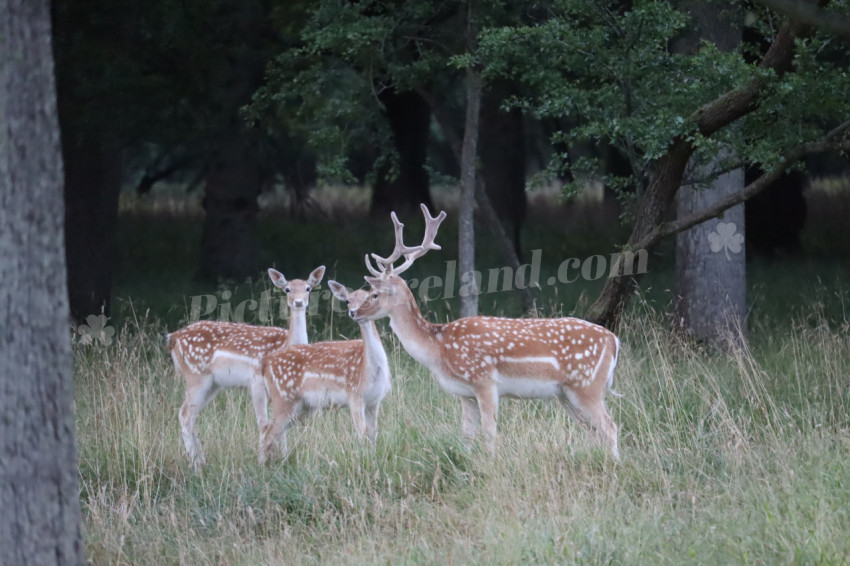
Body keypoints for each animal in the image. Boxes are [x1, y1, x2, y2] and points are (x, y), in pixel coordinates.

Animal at [167, 268, 322, 472]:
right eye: (287, 289)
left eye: (308, 288)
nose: (298, 302)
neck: (285, 345)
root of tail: (173, 338)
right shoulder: (256, 381)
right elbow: (264, 423)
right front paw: (263, 462)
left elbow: (281, 424)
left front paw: (283, 459)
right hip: (195, 376)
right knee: (184, 415)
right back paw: (196, 467)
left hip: (213, 385)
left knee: (190, 416)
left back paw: (202, 462)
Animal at [258, 280, 390, 466]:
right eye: (347, 301)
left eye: (369, 297)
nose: (353, 312)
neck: (369, 369)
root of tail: (266, 363)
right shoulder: (354, 394)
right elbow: (361, 431)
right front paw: (362, 461)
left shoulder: (374, 400)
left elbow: (373, 433)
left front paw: (373, 460)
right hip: (283, 397)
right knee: (268, 431)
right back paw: (261, 467)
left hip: (302, 406)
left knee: (272, 430)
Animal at [362, 205, 620, 462]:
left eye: (374, 293)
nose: (355, 311)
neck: (439, 349)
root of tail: (614, 341)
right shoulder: (465, 394)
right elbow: (466, 436)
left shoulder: (484, 381)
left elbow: (489, 433)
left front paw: (491, 463)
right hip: (566, 393)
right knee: (593, 430)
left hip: (587, 384)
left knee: (610, 426)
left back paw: (616, 463)